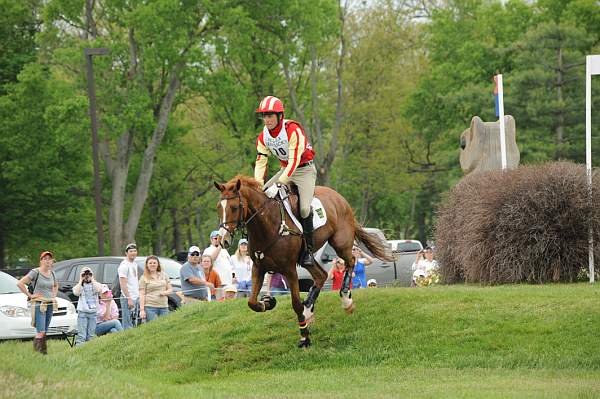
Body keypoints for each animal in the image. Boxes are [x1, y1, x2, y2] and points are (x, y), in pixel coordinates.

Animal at [213, 175, 392, 346]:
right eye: (218, 207)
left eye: (234, 207)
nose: (223, 240)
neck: (267, 225)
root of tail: (338, 197)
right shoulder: (259, 268)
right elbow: (252, 303)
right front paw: (269, 301)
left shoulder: (289, 270)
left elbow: (295, 303)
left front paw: (304, 337)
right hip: (308, 259)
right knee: (321, 276)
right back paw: (308, 311)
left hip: (340, 243)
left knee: (351, 261)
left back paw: (346, 300)